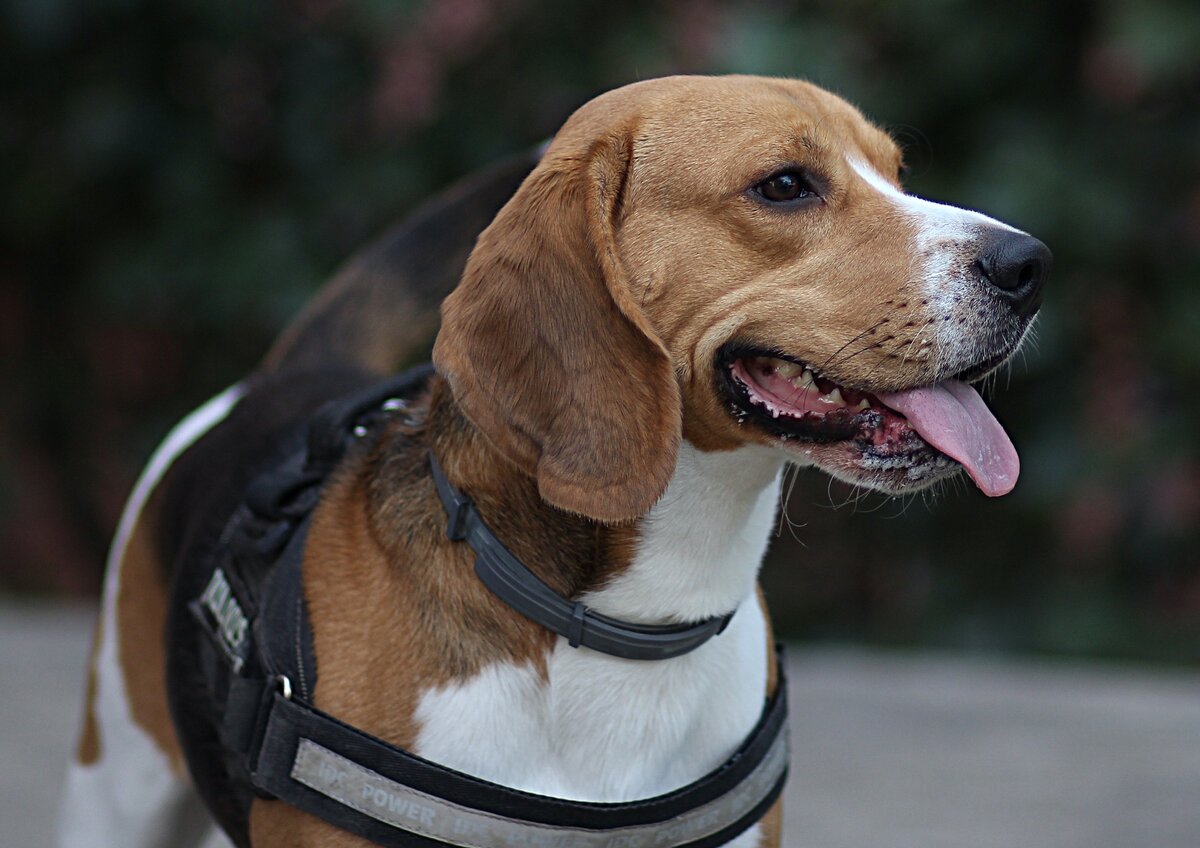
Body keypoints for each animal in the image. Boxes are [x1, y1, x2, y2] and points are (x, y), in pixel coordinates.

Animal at [60, 74, 1046, 848]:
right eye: (785, 186)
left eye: (898, 174)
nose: (1031, 263)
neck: (630, 627)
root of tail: (294, 374)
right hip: (115, 792)